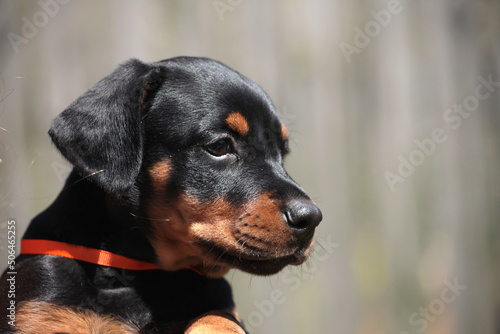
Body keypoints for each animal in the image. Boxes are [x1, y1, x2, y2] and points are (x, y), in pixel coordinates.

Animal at [0, 56, 320, 332]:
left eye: (282, 153)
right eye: (219, 146)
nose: (312, 218)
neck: (134, 275)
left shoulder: (218, 302)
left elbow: (218, 317)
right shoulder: (41, 306)